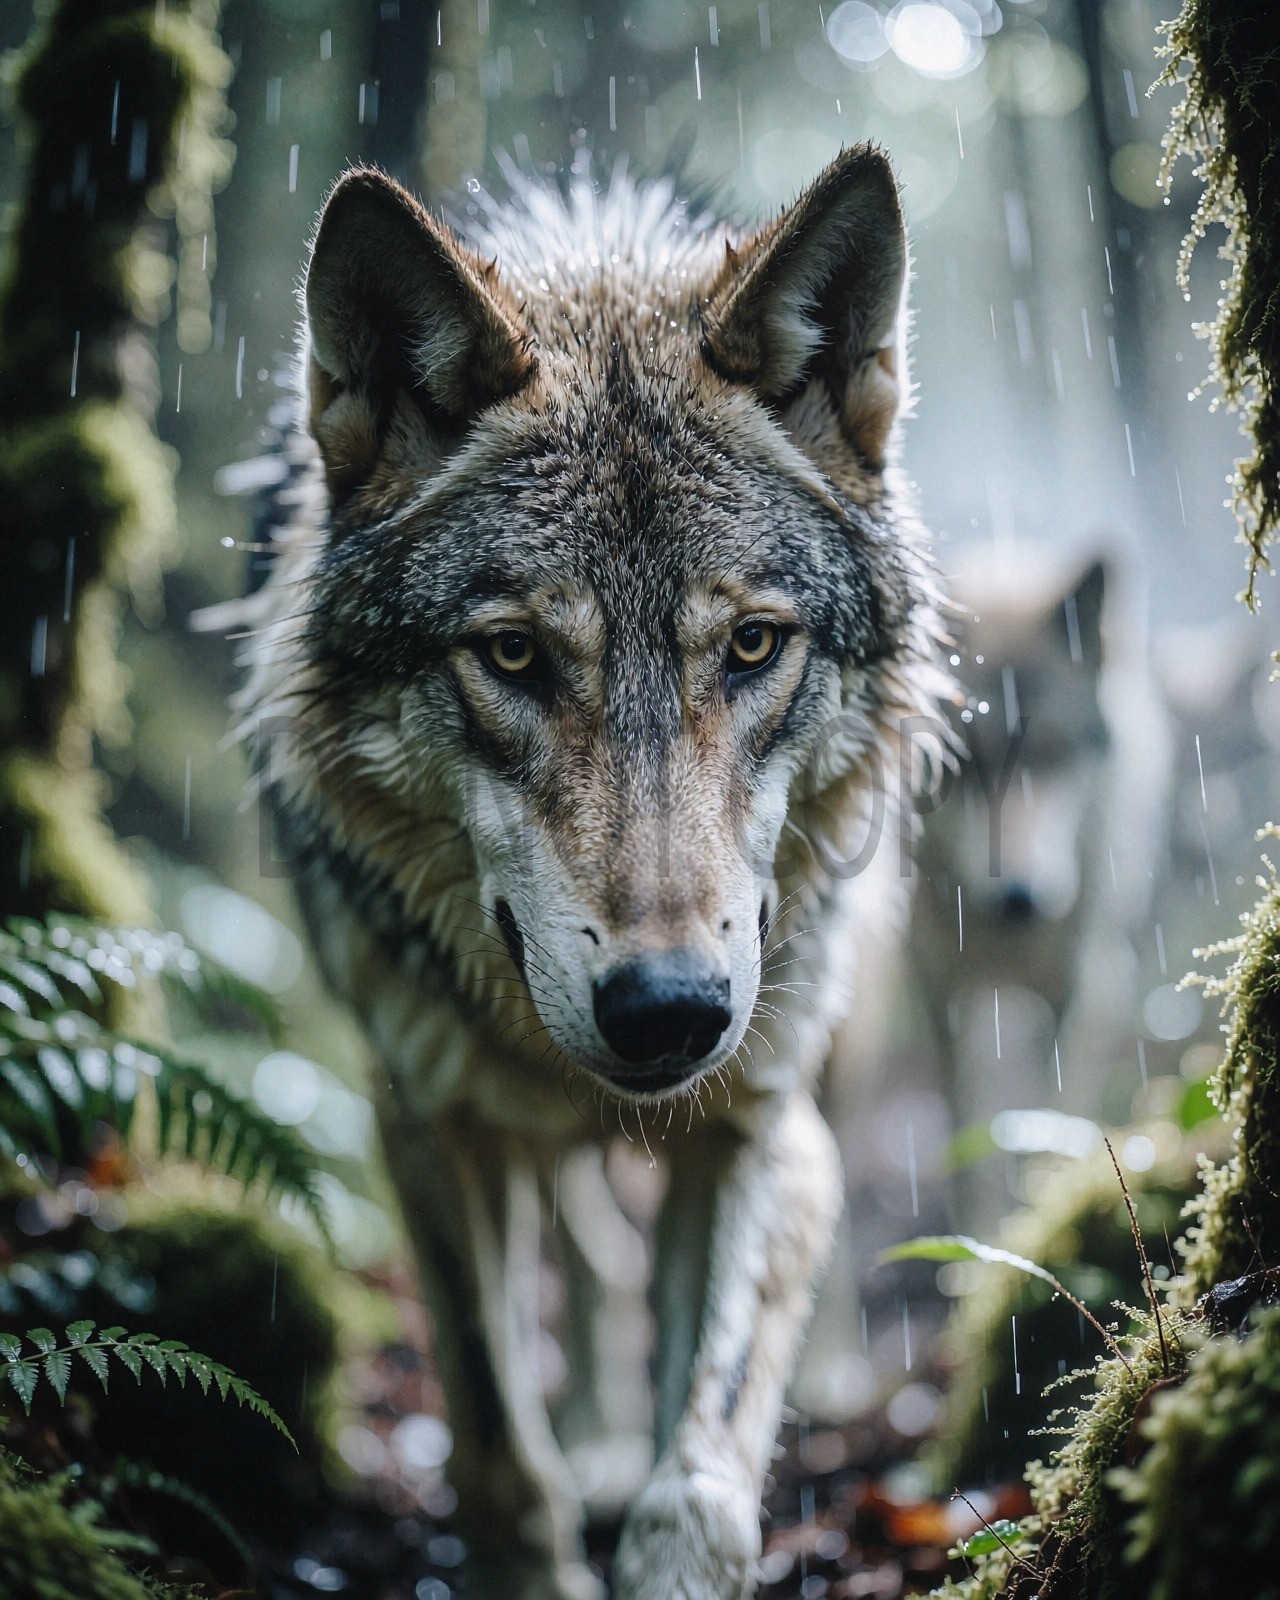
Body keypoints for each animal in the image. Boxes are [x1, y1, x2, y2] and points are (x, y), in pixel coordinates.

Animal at [224, 148, 945, 1599]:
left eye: (751, 646)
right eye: (511, 656)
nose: (669, 1011)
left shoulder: (749, 1118)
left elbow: (706, 1465)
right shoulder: (425, 1115)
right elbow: (499, 1433)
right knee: (589, 1250)